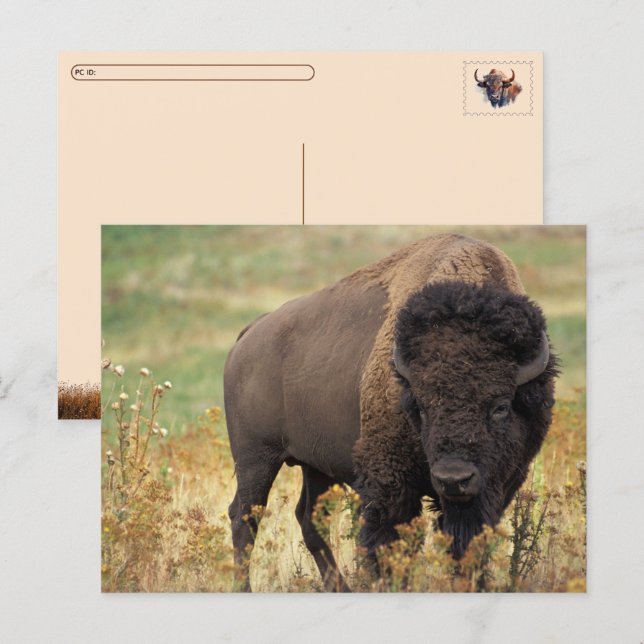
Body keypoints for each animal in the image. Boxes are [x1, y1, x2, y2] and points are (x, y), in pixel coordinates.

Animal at [224, 234, 557, 591]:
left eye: (500, 407)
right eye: (421, 406)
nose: (453, 478)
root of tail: (248, 335)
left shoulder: (497, 485)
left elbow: (467, 542)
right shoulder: (390, 483)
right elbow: (389, 542)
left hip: (315, 465)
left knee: (308, 518)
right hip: (256, 459)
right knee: (245, 517)